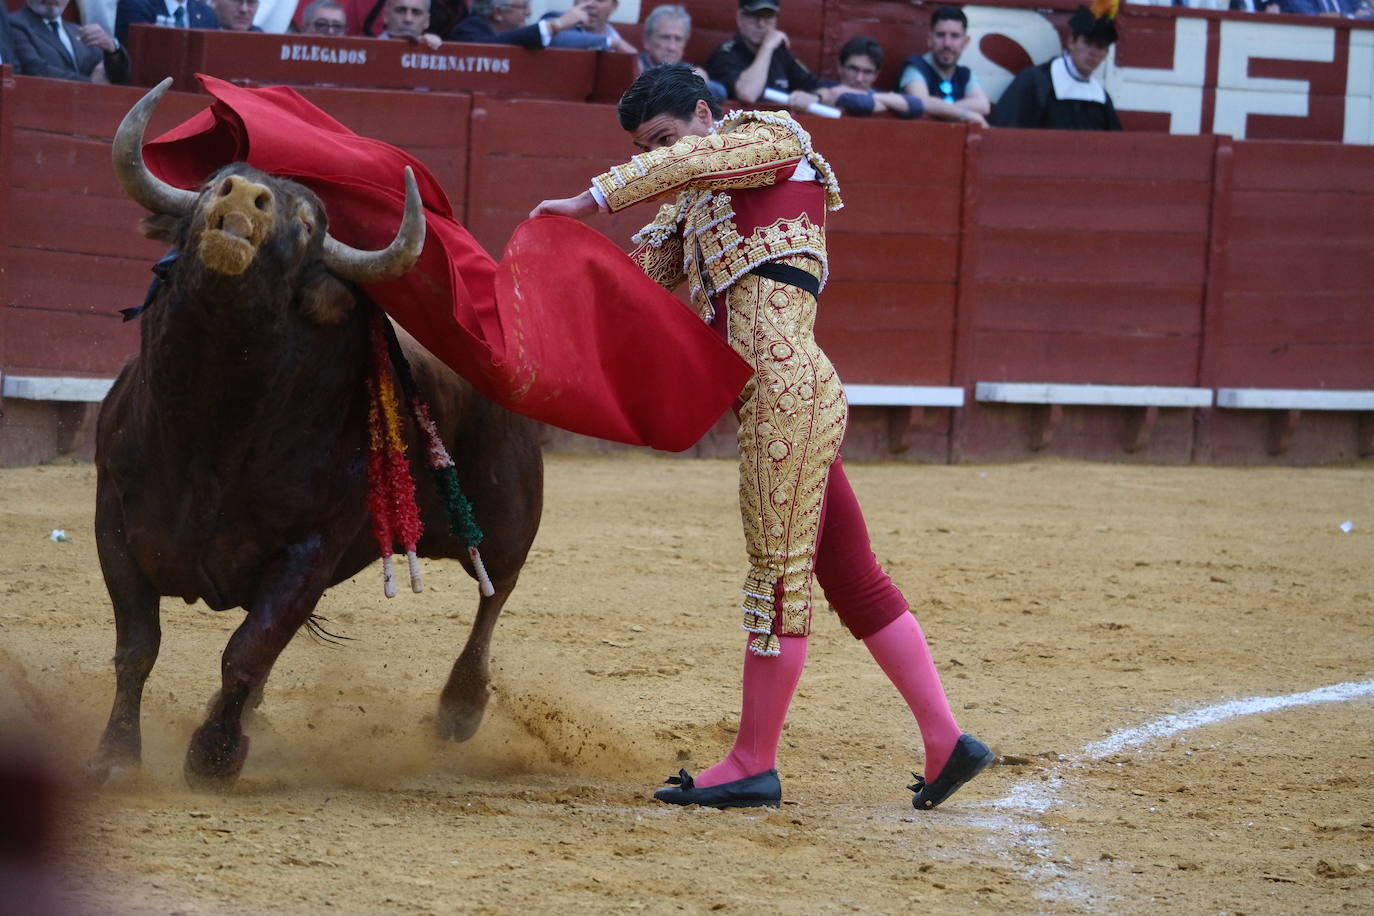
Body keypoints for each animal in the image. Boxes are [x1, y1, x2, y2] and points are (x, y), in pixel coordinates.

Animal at [87, 82, 541, 791]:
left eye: (306, 225)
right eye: (213, 182)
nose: (244, 195)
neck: (209, 426)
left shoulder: (309, 550)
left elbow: (246, 652)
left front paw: (213, 758)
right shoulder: (114, 519)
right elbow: (137, 649)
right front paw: (115, 759)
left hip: (508, 514)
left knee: (495, 590)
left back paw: (460, 709)